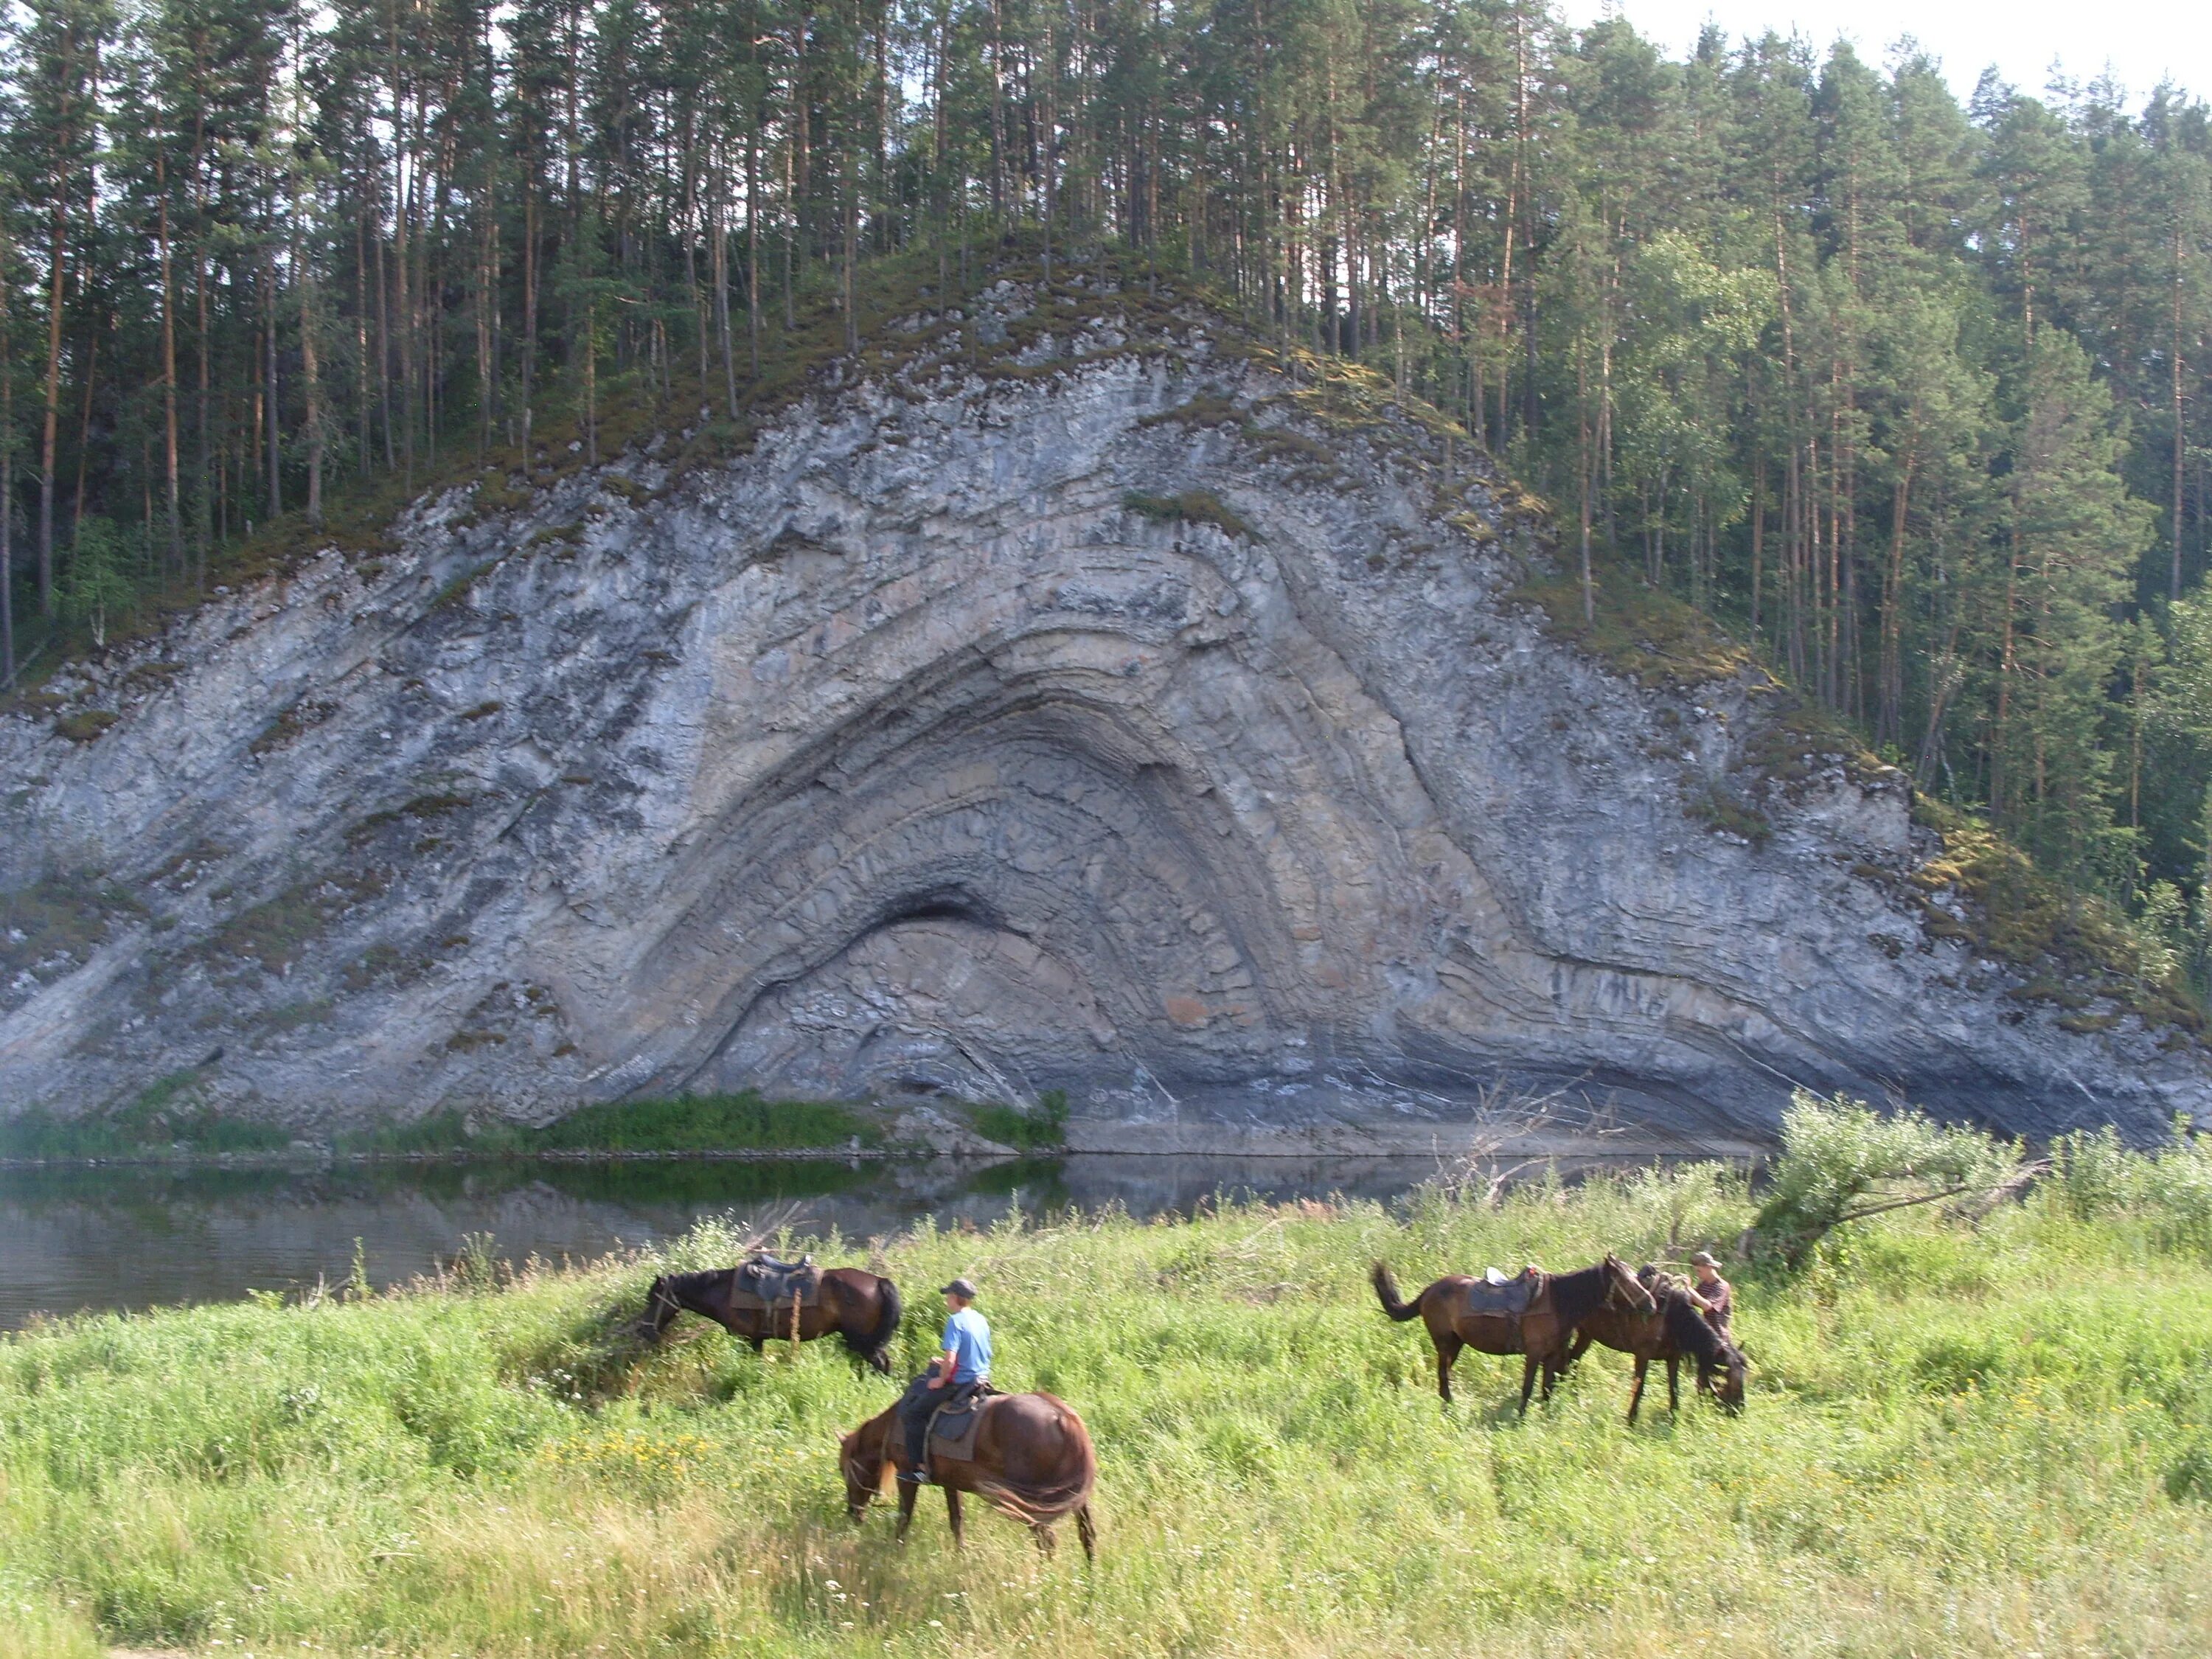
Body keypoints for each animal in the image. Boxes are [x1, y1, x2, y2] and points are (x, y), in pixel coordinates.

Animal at [637, 1256, 902, 1380]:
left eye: (653, 1298)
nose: (643, 1330)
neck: (723, 1290)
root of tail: (880, 1282)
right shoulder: (757, 1340)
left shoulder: (747, 1339)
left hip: (863, 1342)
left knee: (881, 1365)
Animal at [836, 1398, 1097, 1566]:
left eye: (844, 1470)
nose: (853, 1514)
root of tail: (1063, 1418)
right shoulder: (951, 1482)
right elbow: (957, 1521)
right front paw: (961, 1555)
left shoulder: (907, 1475)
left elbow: (904, 1518)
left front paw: (895, 1552)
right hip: (1073, 1500)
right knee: (1087, 1536)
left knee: (1047, 1539)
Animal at [1363, 1256, 1663, 1416]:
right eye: (1626, 1282)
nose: (1651, 1304)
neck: (1558, 1301)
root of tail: (1429, 1291)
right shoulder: (1534, 1353)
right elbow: (1528, 1387)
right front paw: (1521, 1417)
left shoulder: (1553, 1354)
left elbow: (1547, 1387)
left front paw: (1546, 1416)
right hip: (1445, 1343)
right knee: (1443, 1376)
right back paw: (1450, 1407)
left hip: (1456, 1344)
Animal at [1566, 1265, 1752, 1425]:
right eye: (1729, 1381)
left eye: (1743, 1379)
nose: (1739, 1411)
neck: (1670, 1319)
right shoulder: (1642, 1355)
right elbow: (1639, 1388)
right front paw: (1631, 1422)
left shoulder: (1673, 1358)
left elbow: (1674, 1388)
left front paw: (1674, 1419)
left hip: (1587, 1334)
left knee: (1573, 1360)